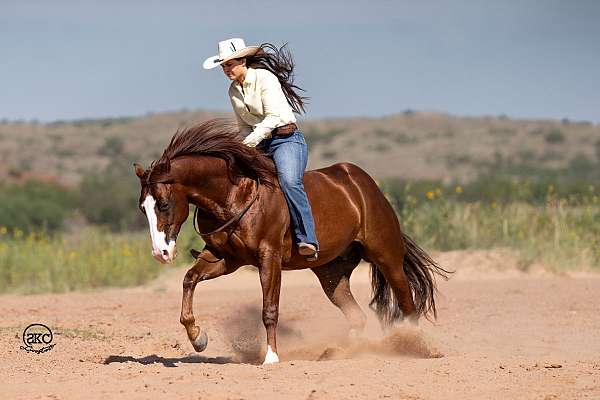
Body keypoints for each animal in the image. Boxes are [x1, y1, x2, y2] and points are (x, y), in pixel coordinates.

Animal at [134, 118, 448, 362]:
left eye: (163, 204)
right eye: (142, 208)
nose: (161, 253)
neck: (235, 196)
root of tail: (362, 184)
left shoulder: (269, 258)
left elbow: (269, 310)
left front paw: (271, 357)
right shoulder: (224, 259)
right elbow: (189, 280)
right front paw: (198, 338)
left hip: (386, 255)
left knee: (407, 303)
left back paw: (420, 348)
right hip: (332, 274)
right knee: (357, 315)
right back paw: (338, 352)